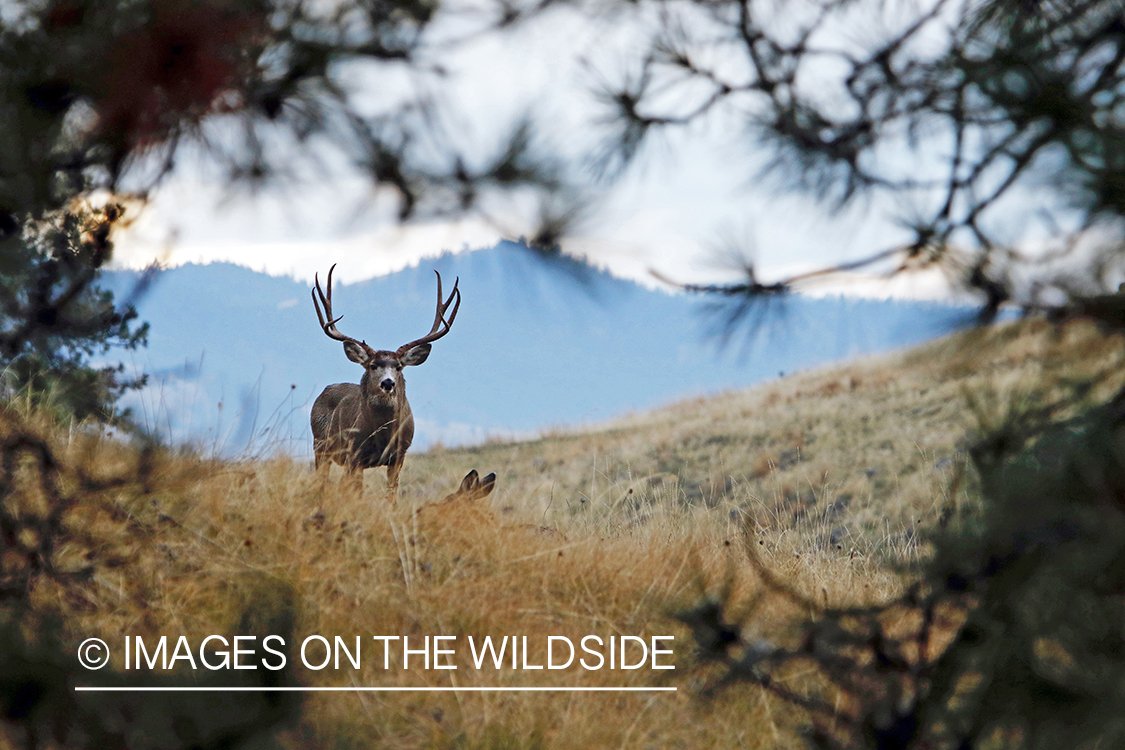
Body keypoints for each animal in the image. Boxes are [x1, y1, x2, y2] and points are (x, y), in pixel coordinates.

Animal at [310, 265, 460, 501]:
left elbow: (392, 495)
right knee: (323, 481)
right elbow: (357, 493)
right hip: (320, 445)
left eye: (398, 366)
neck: (382, 435)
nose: (388, 383)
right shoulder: (355, 454)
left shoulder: (399, 455)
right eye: (373, 365)